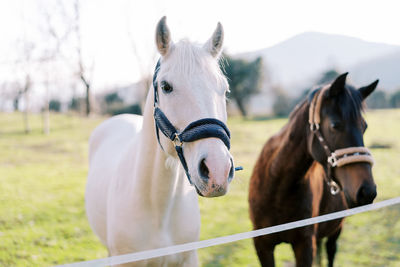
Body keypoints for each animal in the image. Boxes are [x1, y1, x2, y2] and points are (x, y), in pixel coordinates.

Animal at [250, 73, 378, 267]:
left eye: (364, 127)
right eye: (335, 125)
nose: (367, 191)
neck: (278, 189)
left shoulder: (304, 245)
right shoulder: (262, 246)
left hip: (336, 229)